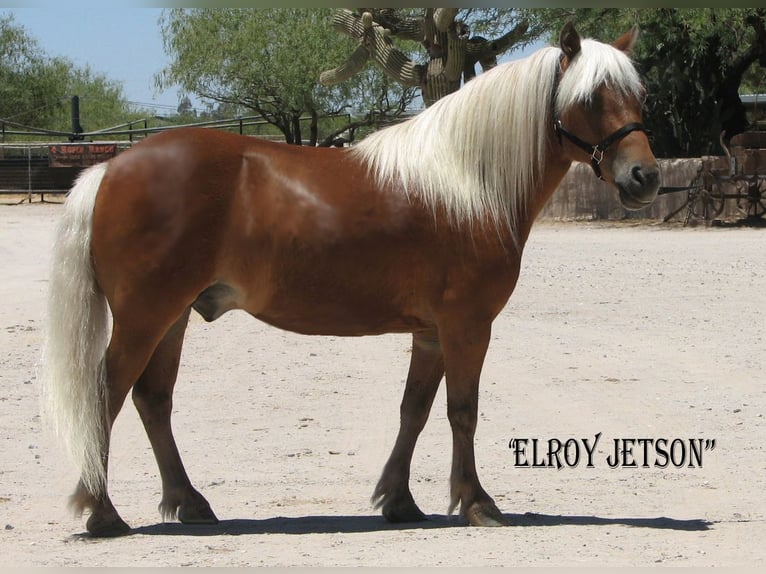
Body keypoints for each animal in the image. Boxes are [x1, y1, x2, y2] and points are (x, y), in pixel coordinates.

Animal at [40, 20, 660, 536]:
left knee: (153, 399)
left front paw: (399, 501)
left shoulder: (431, 332)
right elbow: (462, 410)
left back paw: (189, 504)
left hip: (171, 318)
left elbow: (415, 410)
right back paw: (103, 512)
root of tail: (110, 167)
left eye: (640, 96)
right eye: (589, 98)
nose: (645, 177)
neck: (466, 183)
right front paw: (477, 502)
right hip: (145, 316)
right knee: (107, 394)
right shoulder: (467, 325)